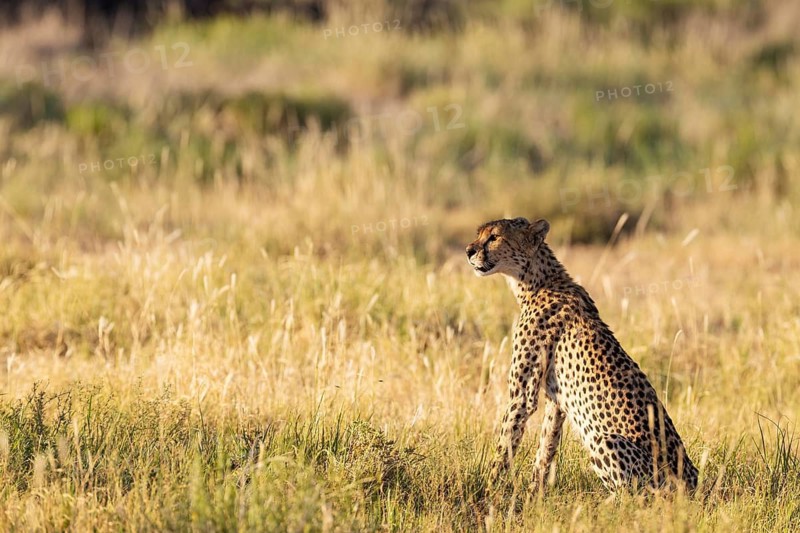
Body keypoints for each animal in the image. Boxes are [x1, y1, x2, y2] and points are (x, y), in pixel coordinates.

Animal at [466, 216, 698, 493]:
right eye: (479, 234)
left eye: (494, 237)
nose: (468, 251)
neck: (538, 281)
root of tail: (693, 480)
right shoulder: (556, 400)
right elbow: (546, 447)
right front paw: (535, 494)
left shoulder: (521, 397)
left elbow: (504, 446)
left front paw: (489, 492)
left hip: (607, 442)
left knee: (635, 497)